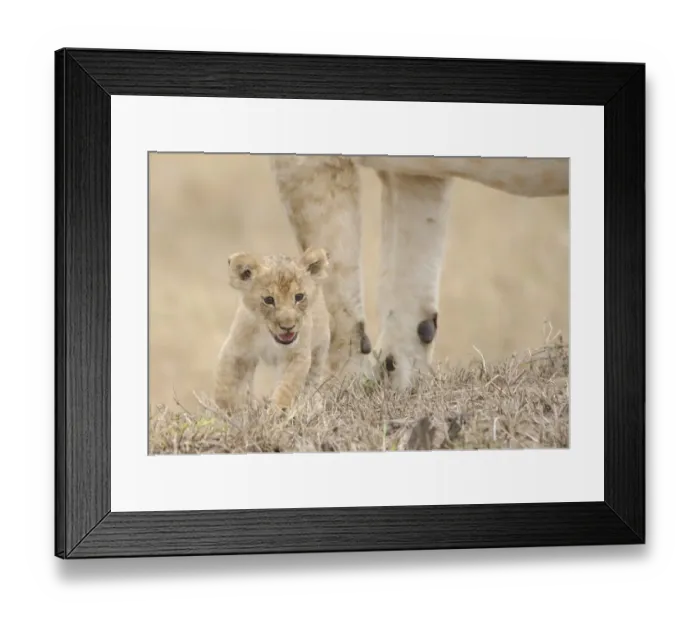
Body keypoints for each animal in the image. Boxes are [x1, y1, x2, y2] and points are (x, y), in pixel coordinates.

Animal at [214, 246, 331, 412]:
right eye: (269, 300)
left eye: (299, 297)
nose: (287, 327)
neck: (268, 336)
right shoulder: (237, 350)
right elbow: (224, 386)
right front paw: (228, 411)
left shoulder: (298, 355)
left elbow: (287, 386)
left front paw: (276, 411)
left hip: (320, 350)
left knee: (312, 382)